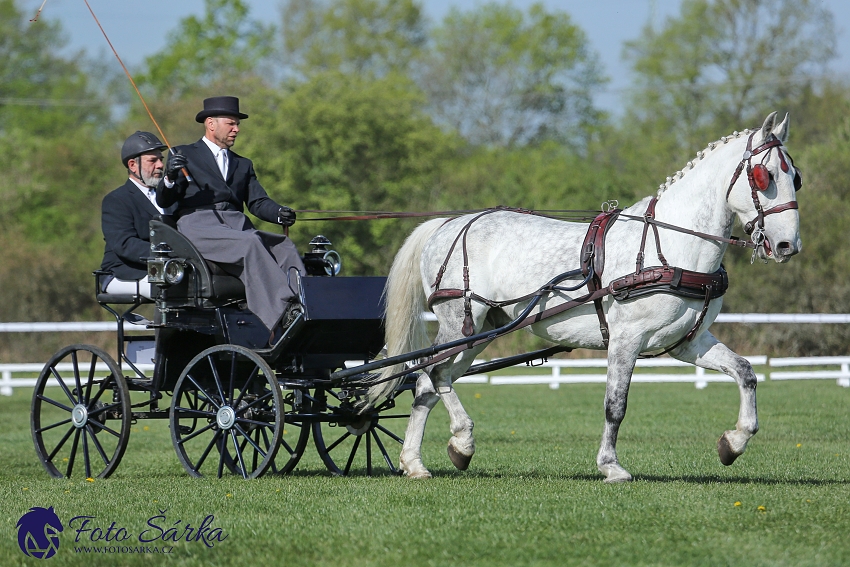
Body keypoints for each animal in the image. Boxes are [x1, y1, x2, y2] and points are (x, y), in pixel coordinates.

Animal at [368, 112, 800, 484]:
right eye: (764, 175)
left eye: (796, 177)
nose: (787, 246)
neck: (670, 246)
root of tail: (449, 223)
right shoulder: (627, 338)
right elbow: (615, 405)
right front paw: (611, 466)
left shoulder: (687, 342)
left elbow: (745, 372)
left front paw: (733, 443)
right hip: (460, 321)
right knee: (433, 374)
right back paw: (460, 441)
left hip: (481, 330)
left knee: (428, 384)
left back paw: (418, 462)